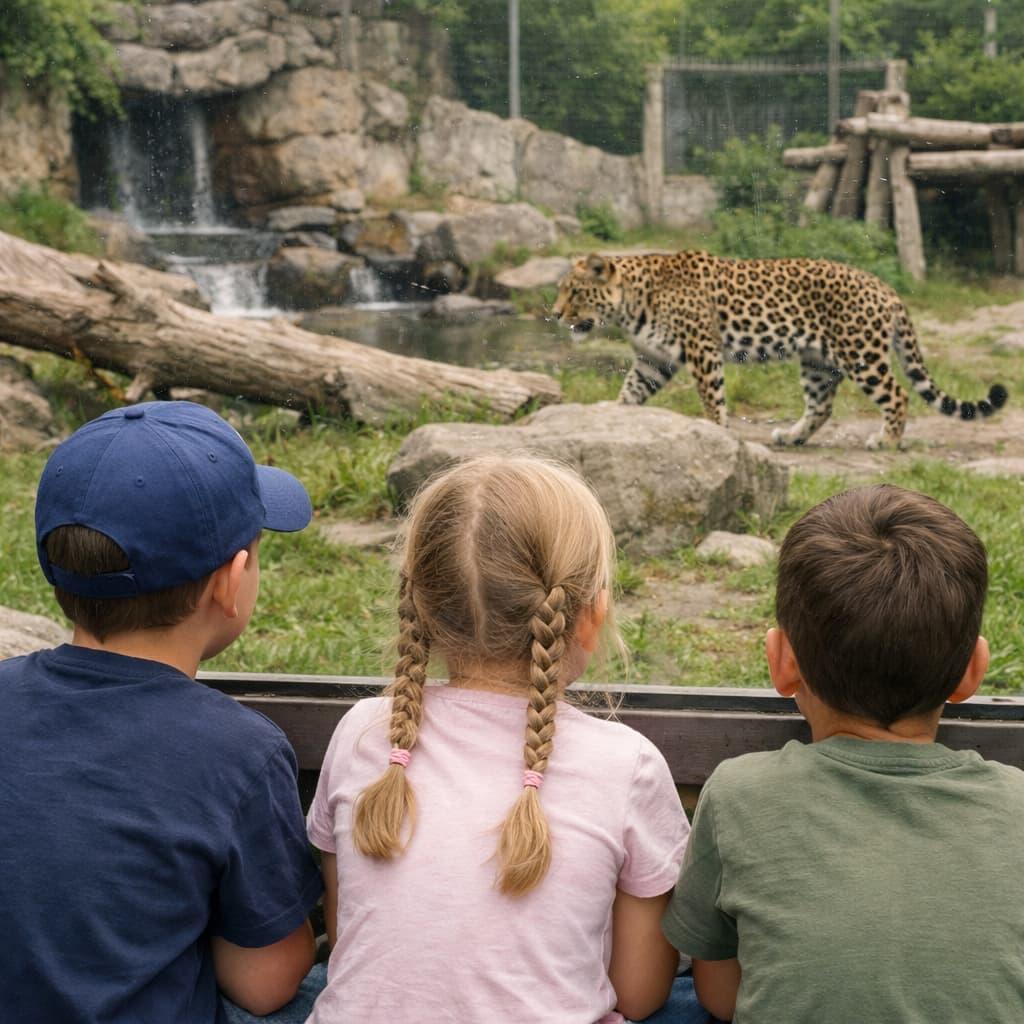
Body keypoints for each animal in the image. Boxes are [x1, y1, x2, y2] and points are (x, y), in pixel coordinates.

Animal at [551, 251, 1007, 450]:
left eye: (574, 291)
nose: (553, 314)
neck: (633, 302)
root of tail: (887, 288)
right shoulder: (654, 360)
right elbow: (630, 392)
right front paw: (616, 418)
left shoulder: (702, 348)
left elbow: (712, 398)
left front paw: (719, 432)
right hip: (817, 362)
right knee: (822, 405)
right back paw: (792, 436)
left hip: (861, 353)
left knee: (896, 394)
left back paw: (887, 440)